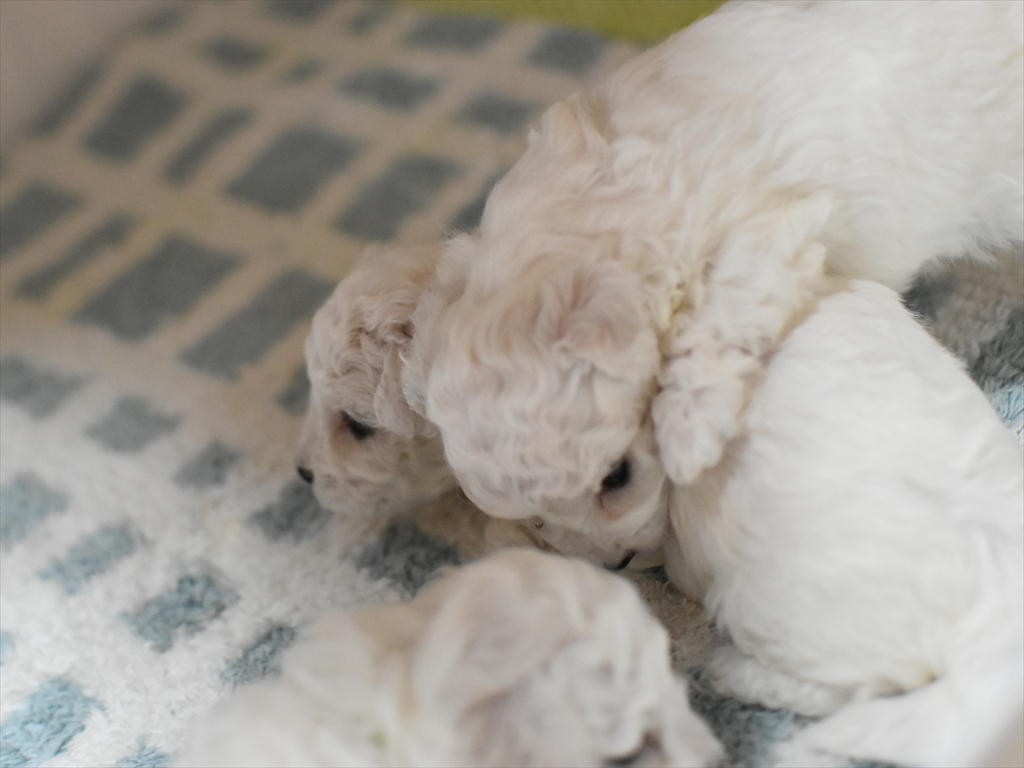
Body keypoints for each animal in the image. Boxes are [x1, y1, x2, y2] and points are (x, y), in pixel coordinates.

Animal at [413, 0, 1024, 555]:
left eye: (617, 477)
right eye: (538, 515)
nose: (619, 563)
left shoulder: (779, 226)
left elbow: (720, 307)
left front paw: (688, 430)